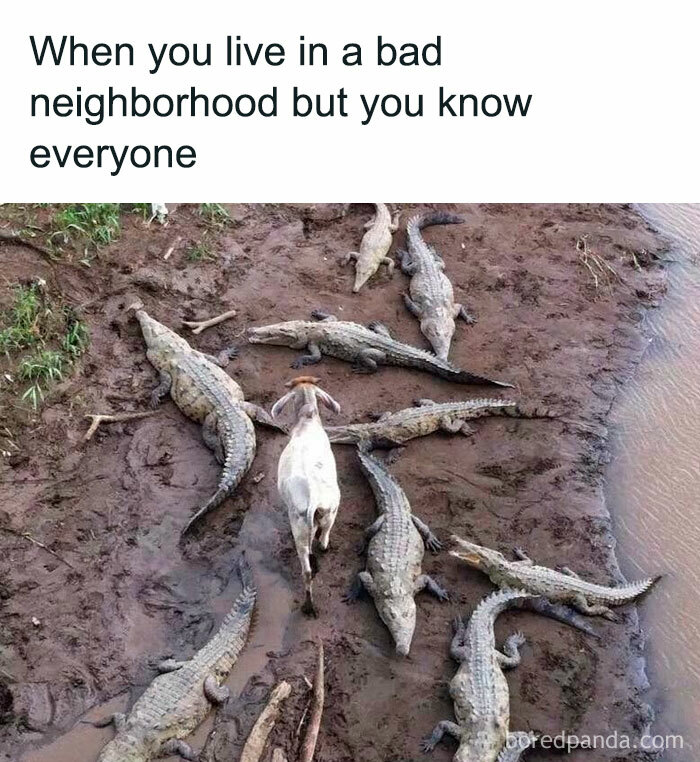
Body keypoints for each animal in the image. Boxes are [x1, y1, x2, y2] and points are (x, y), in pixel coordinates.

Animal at [272, 376, 341, 616]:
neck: (307, 422)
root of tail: (313, 496)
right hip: (330, 510)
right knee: (319, 545)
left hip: (300, 525)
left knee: (308, 565)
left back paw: (308, 605)